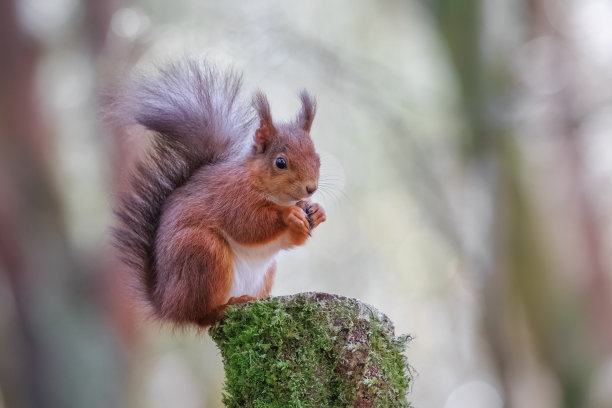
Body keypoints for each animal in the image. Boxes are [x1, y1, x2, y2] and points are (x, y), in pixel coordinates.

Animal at [109, 59, 326, 328]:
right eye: (281, 162)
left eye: (318, 159)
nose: (311, 188)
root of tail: (165, 303)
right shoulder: (231, 196)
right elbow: (248, 224)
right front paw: (289, 215)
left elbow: (290, 240)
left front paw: (317, 211)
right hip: (203, 253)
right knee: (200, 316)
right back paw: (224, 306)